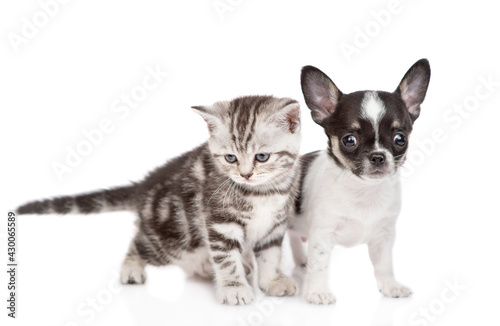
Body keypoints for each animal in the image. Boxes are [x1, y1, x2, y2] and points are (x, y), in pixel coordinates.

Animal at [17, 95, 300, 306]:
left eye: (262, 157)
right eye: (230, 158)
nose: (245, 174)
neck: (263, 192)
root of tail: (145, 186)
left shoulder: (275, 224)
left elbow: (270, 254)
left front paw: (272, 280)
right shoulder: (219, 222)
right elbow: (226, 258)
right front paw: (234, 288)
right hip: (173, 239)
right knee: (138, 240)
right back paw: (132, 268)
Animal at [292, 59, 432, 306]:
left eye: (400, 139)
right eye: (349, 140)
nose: (378, 156)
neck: (363, 190)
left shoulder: (383, 236)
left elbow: (384, 265)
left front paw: (390, 286)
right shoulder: (322, 235)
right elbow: (320, 265)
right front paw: (318, 291)